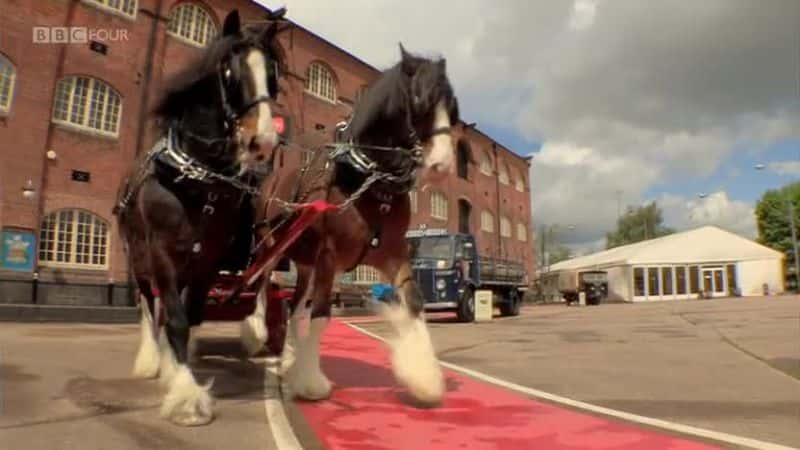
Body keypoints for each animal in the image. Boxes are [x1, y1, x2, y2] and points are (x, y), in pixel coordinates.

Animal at [114, 9, 284, 426]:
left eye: (273, 75)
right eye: (229, 71)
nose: (263, 142)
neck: (196, 177)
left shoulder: (208, 257)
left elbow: (189, 315)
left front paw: (181, 366)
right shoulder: (161, 253)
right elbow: (171, 317)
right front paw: (186, 396)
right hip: (139, 258)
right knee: (150, 307)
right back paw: (151, 358)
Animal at [241, 44, 460, 408]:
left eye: (453, 109)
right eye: (419, 99)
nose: (442, 165)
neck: (367, 178)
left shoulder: (392, 254)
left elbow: (414, 301)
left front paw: (425, 379)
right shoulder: (330, 256)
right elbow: (321, 314)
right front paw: (312, 383)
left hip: (304, 262)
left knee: (294, 308)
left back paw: (289, 359)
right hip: (270, 242)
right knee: (260, 284)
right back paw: (256, 332)